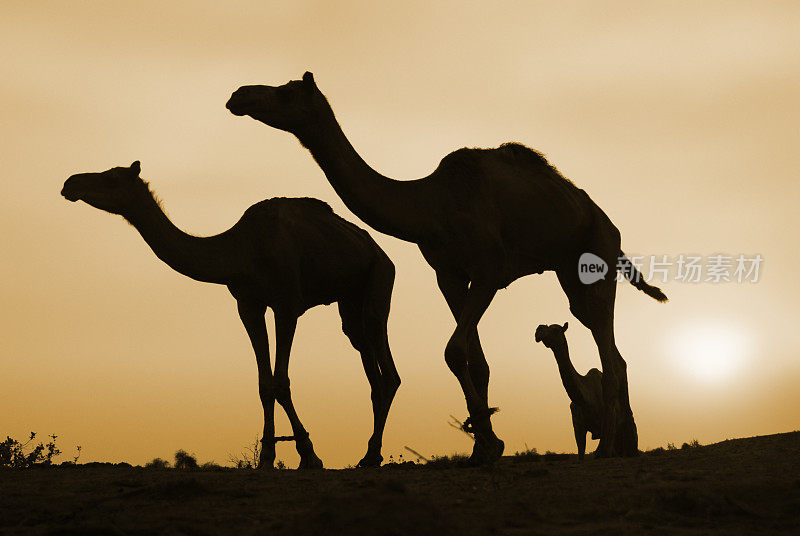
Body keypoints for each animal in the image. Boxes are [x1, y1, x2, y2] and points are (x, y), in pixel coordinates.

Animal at [61, 161, 400, 466]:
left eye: (111, 178)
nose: (69, 183)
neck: (239, 251)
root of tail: (379, 250)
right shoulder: (248, 305)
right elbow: (264, 384)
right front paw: (266, 457)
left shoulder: (287, 304)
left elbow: (281, 381)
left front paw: (309, 455)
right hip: (349, 299)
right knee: (368, 363)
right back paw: (369, 453)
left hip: (379, 277)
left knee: (387, 365)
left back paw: (371, 456)